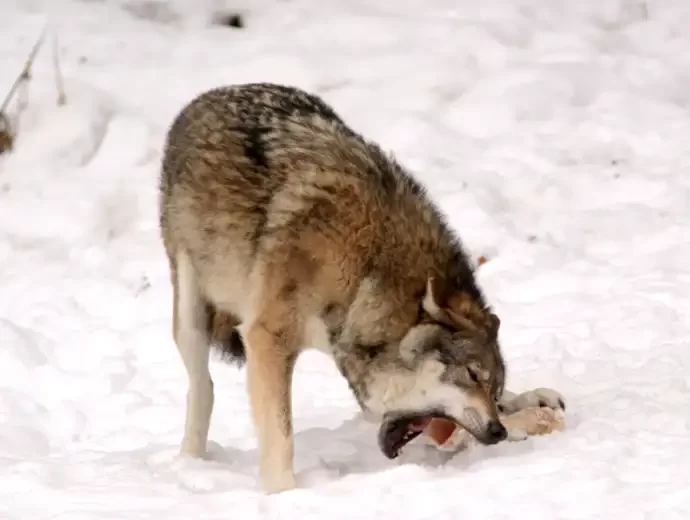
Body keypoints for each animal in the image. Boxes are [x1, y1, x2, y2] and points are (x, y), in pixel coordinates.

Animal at [158, 82, 566, 494]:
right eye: (470, 375)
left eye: (492, 387)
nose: (497, 432)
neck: (366, 272)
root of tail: (211, 94)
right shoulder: (267, 339)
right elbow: (281, 433)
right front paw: (284, 492)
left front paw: (528, 405)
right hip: (191, 314)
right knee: (203, 387)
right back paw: (192, 460)